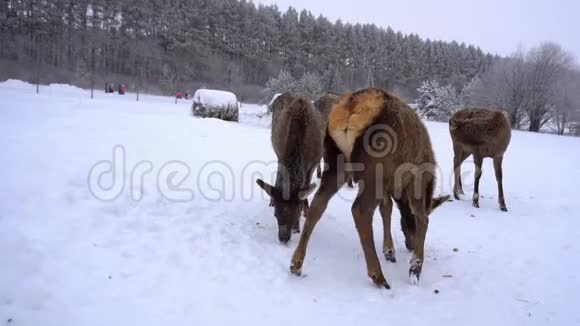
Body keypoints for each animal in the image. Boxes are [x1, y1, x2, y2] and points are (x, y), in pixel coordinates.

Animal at [256, 93, 324, 243]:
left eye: (296, 212)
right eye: (276, 214)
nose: (283, 237)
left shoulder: (312, 165)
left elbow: (305, 189)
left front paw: (302, 217)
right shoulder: (281, 156)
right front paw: (273, 202)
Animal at [290, 87, 448, 288]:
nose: (409, 244)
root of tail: (351, 106)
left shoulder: (387, 186)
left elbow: (386, 209)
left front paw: (389, 250)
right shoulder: (416, 181)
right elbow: (422, 218)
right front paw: (415, 268)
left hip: (337, 160)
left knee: (318, 204)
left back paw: (296, 263)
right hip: (375, 166)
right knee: (360, 210)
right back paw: (378, 275)